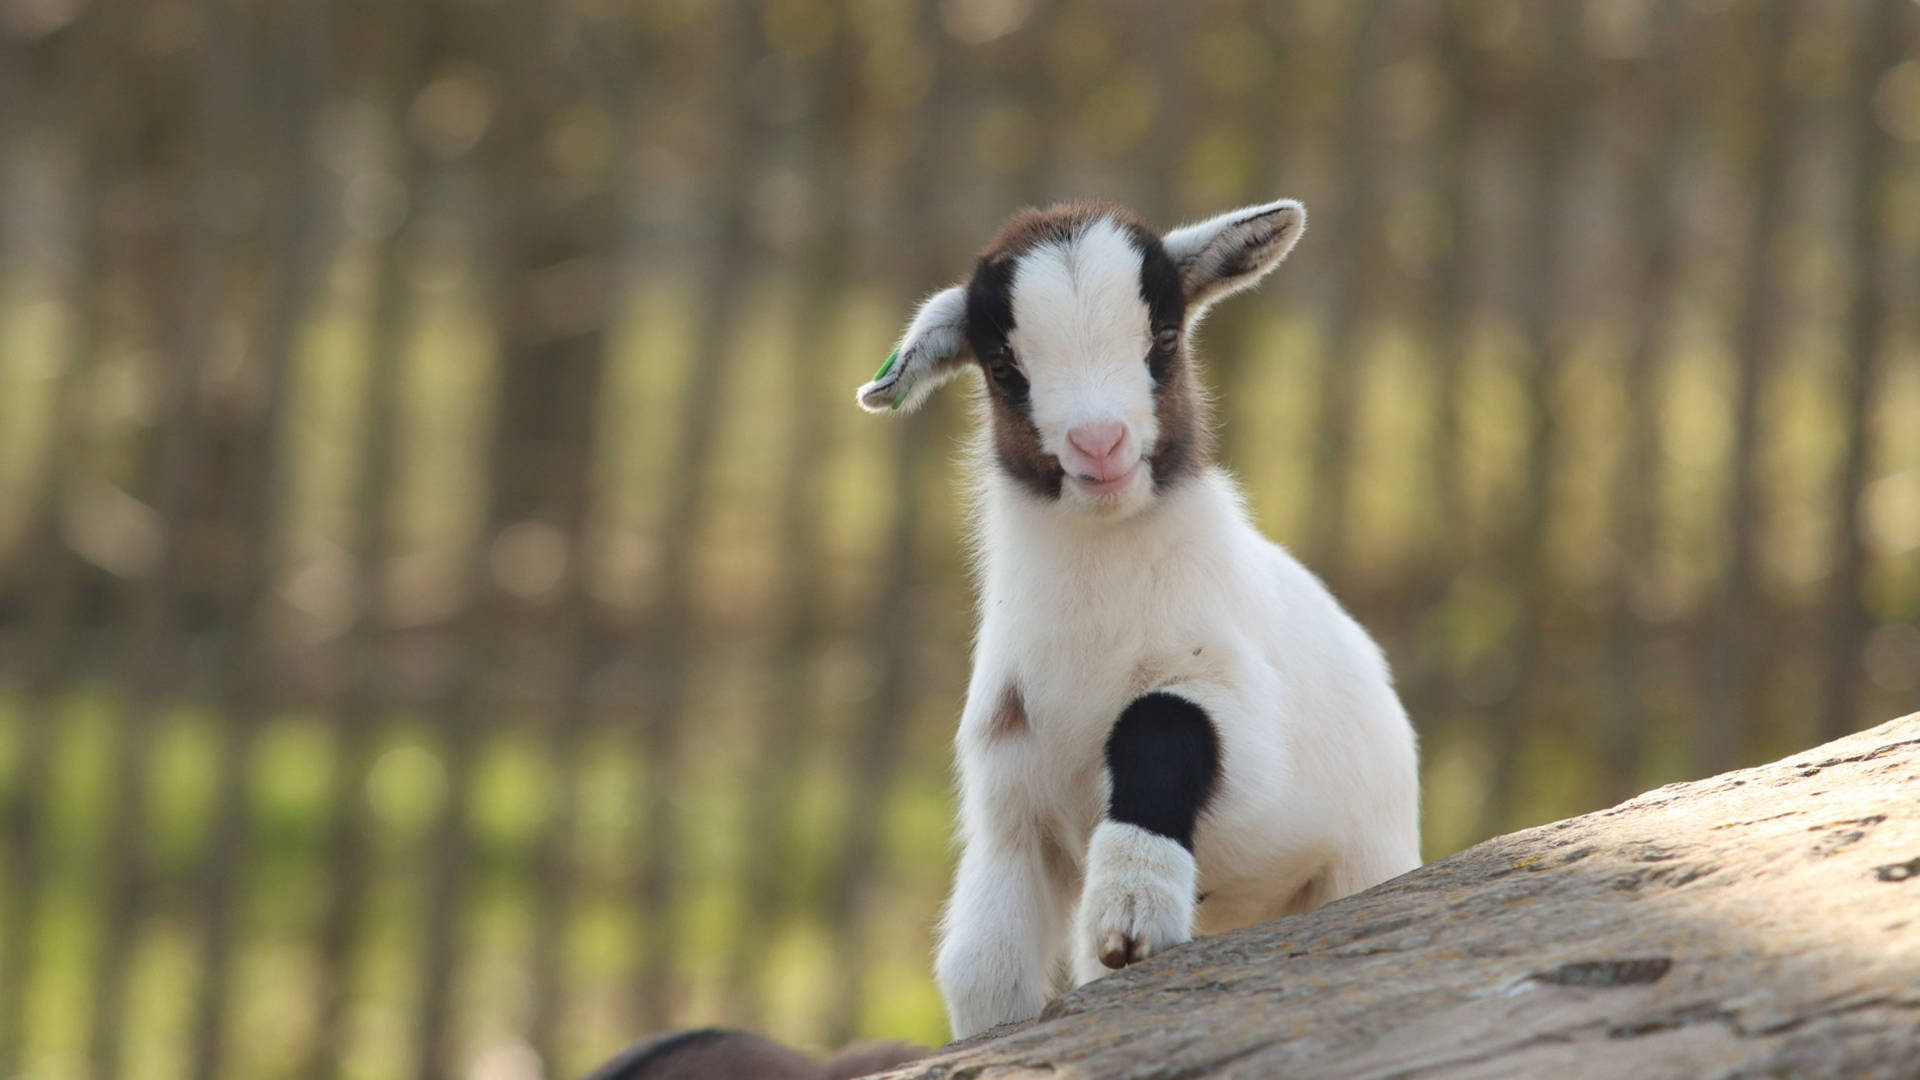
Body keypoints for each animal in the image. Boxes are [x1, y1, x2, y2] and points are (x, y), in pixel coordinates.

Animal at [856, 195, 1428, 1037]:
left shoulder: (1240, 718)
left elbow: (1160, 725)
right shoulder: (1012, 801)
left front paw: (1130, 907)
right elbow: (983, 967)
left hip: (1361, 860)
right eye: (1005, 368)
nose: (1100, 443)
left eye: (1162, 338)